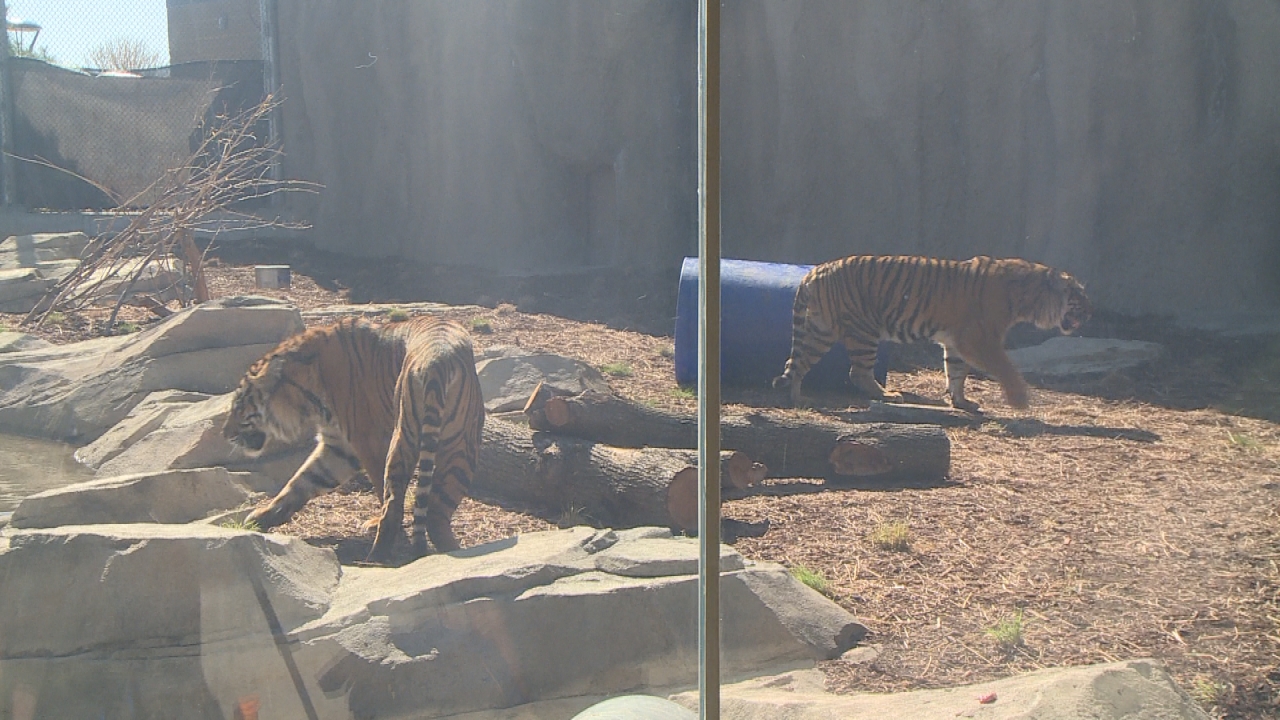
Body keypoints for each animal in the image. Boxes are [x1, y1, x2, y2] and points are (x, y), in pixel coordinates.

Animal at [220, 313, 483, 561]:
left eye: (238, 405)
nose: (225, 434)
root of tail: (437, 360)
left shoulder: (370, 442)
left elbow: (379, 491)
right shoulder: (338, 448)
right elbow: (301, 480)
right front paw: (262, 516)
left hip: (410, 439)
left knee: (395, 505)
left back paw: (376, 560)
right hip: (457, 447)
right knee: (436, 513)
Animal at [768, 253, 1090, 409]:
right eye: (1079, 297)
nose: (1090, 313)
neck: (1029, 298)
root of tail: (814, 271)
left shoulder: (957, 342)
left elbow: (956, 373)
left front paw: (961, 402)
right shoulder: (979, 339)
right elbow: (1005, 367)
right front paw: (1019, 400)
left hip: (819, 331)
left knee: (795, 362)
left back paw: (799, 399)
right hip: (864, 331)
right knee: (857, 373)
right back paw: (889, 395)